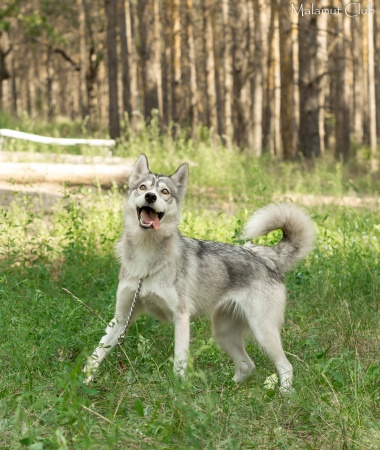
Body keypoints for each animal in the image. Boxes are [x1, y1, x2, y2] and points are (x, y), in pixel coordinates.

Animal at [85, 155, 314, 390]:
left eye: (164, 192)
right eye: (143, 187)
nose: (150, 196)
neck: (145, 258)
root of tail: (266, 257)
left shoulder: (181, 317)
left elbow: (179, 361)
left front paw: (177, 391)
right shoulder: (121, 318)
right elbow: (96, 354)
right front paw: (83, 383)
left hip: (263, 333)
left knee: (286, 366)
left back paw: (284, 393)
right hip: (223, 333)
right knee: (247, 366)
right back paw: (225, 390)